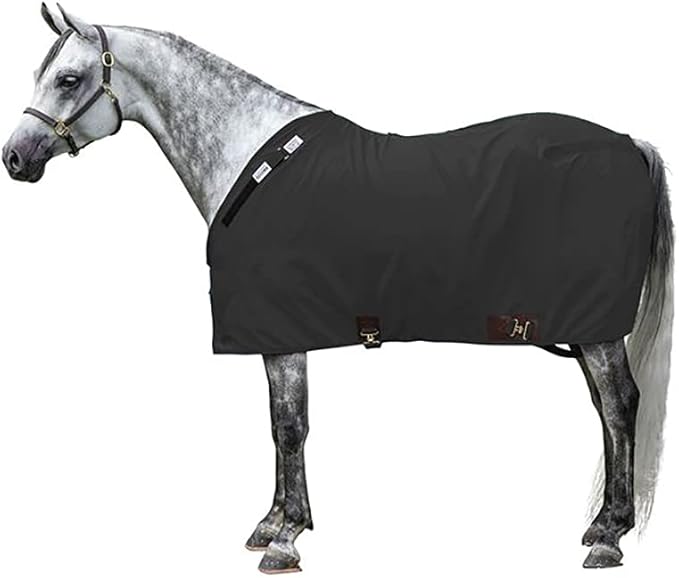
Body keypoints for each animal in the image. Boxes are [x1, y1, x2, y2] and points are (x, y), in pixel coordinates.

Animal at [2, 4, 673, 574]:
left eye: (67, 79)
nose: (15, 157)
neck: (251, 164)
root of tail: (629, 144)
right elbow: (278, 425)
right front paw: (273, 522)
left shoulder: (282, 331)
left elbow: (290, 425)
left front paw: (286, 538)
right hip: (581, 329)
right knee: (606, 409)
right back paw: (602, 525)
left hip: (595, 329)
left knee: (620, 405)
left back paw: (609, 536)